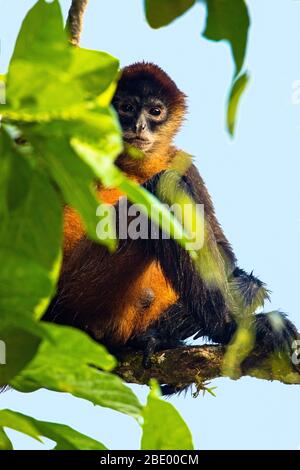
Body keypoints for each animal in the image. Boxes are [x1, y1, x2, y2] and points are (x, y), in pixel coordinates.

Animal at [44, 63, 298, 386]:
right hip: (76, 294)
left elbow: (226, 253)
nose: (139, 126)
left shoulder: (182, 160)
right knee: (162, 187)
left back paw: (153, 337)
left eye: (155, 111)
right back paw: (230, 329)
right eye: (126, 108)